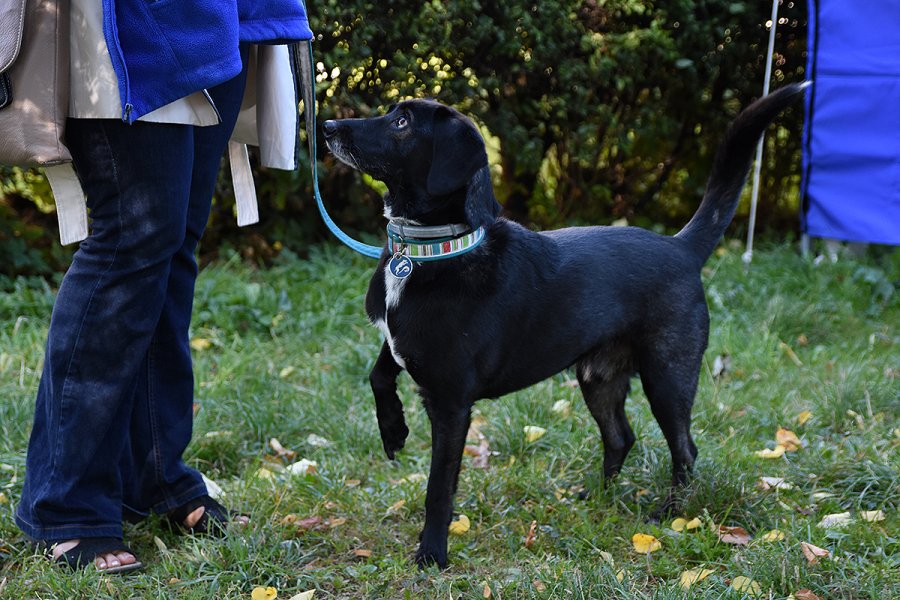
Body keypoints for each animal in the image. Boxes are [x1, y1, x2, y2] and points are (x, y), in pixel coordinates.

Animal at [324, 83, 808, 568]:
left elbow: (438, 487)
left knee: (684, 449)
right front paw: (394, 432)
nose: (327, 126)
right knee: (621, 437)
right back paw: (598, 495)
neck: (430, 251)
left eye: (402, 122)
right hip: (598, 378)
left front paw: (432, 552)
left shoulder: (451, 402)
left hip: (668, 376)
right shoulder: (399, 343)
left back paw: (671, 513)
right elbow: (379, 374)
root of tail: (682, 247)